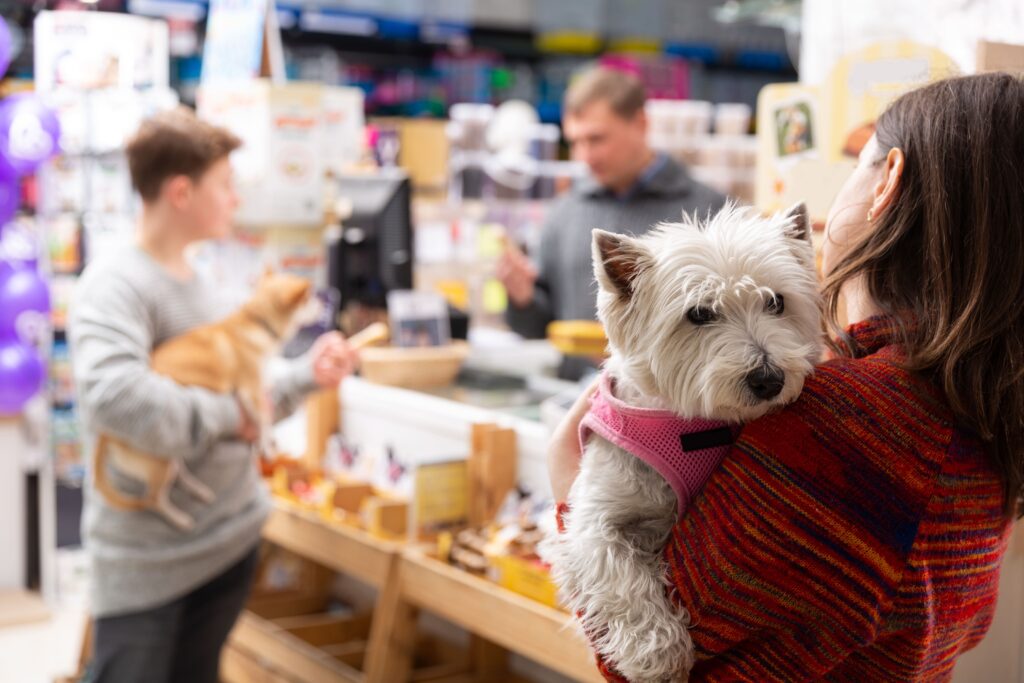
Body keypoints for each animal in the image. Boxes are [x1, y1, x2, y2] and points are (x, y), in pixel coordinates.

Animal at [544, 200, 823, 679]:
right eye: (699, 314)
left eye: (776, 301)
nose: (769, 379)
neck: (690, 422)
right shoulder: (592, 518)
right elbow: (619, 573)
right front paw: (656, 654)